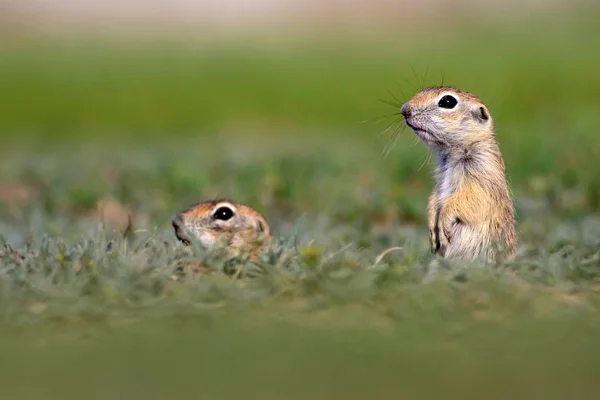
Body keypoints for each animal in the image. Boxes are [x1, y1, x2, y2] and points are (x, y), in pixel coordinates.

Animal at [398, 86, 516, 262]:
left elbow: (470, 199)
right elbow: (434, 198)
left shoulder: (483, 172)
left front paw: (443, 223)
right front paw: (432, 227)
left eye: (448, 101)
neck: (452, 152)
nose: (404, 110)